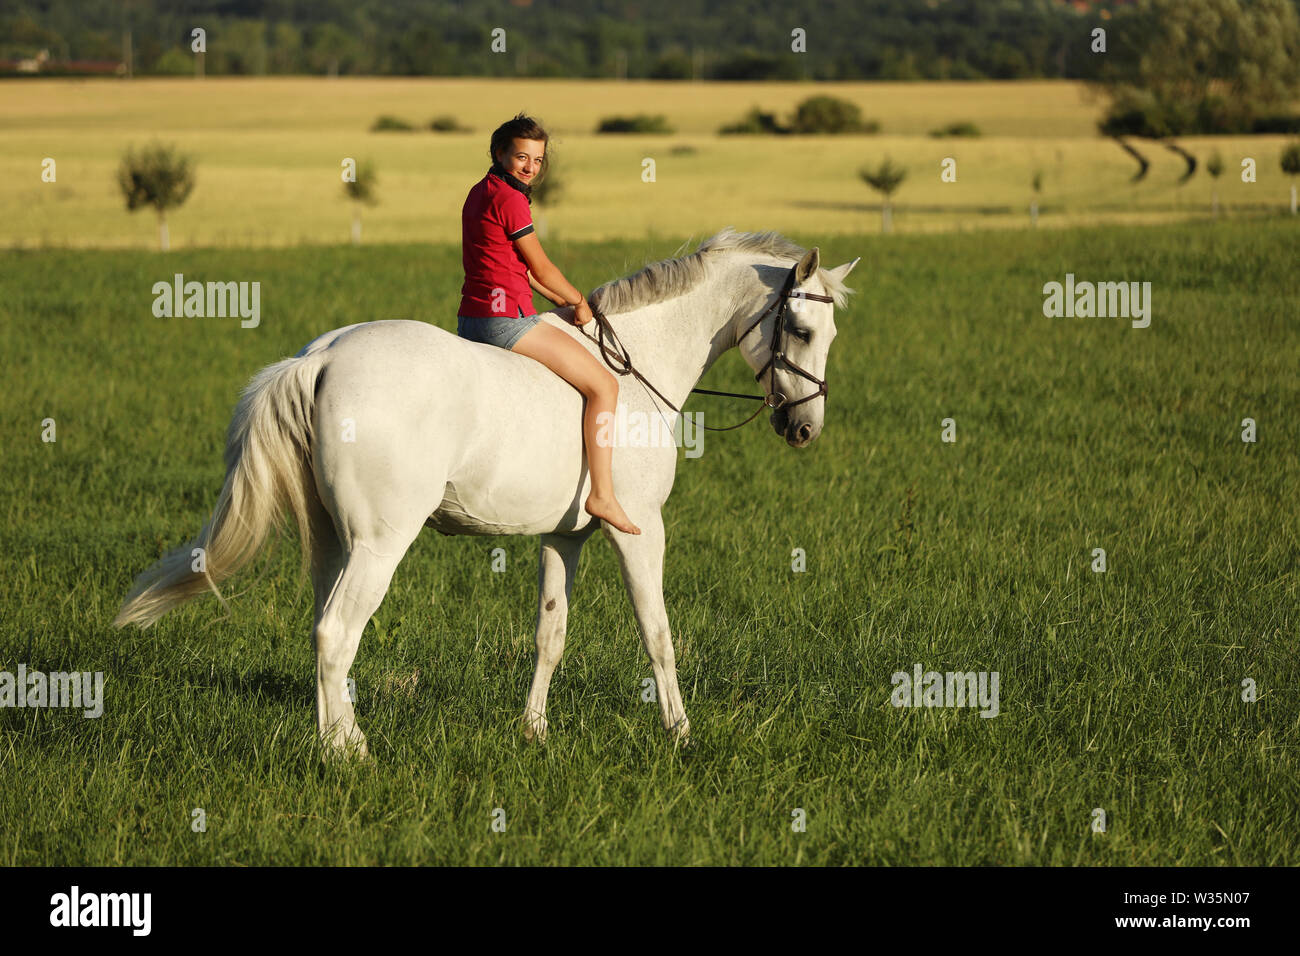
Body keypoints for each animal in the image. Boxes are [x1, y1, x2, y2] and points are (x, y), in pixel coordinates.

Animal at [112, 228, 859, 758]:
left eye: (830, 334)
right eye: (800, 330)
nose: (805, 428)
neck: (637, 367)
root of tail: (321, 357)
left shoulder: (564, 537)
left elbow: (551, 633)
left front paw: (533, 732)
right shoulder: (640, 529)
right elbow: (658, 632)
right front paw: (680, 734)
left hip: (333, 543)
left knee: (324, 630)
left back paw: (335, 740)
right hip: (379, 545)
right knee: (336, 632)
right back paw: (351, 754)